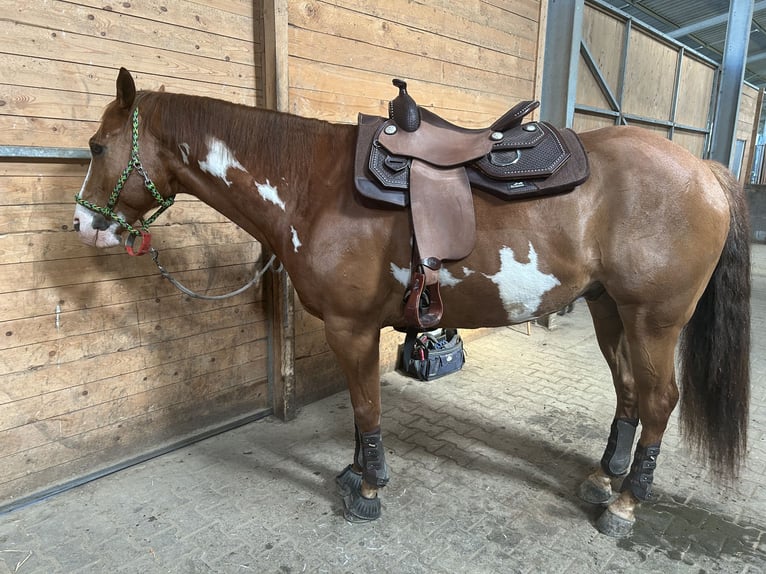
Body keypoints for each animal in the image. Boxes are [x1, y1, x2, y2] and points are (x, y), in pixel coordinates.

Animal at [73, 68, 750, 538]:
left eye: (98, 146)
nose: (82, 225)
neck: (311, 185)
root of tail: (707, 171)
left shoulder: (350, 327)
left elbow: (367, 409)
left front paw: (369, 490)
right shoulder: (358, 330)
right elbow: (359, 411)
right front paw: (353, 474)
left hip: (654, 320)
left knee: (660, 400)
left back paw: (628, 504)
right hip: (610, 309)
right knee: (629, 391)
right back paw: (605, 479)